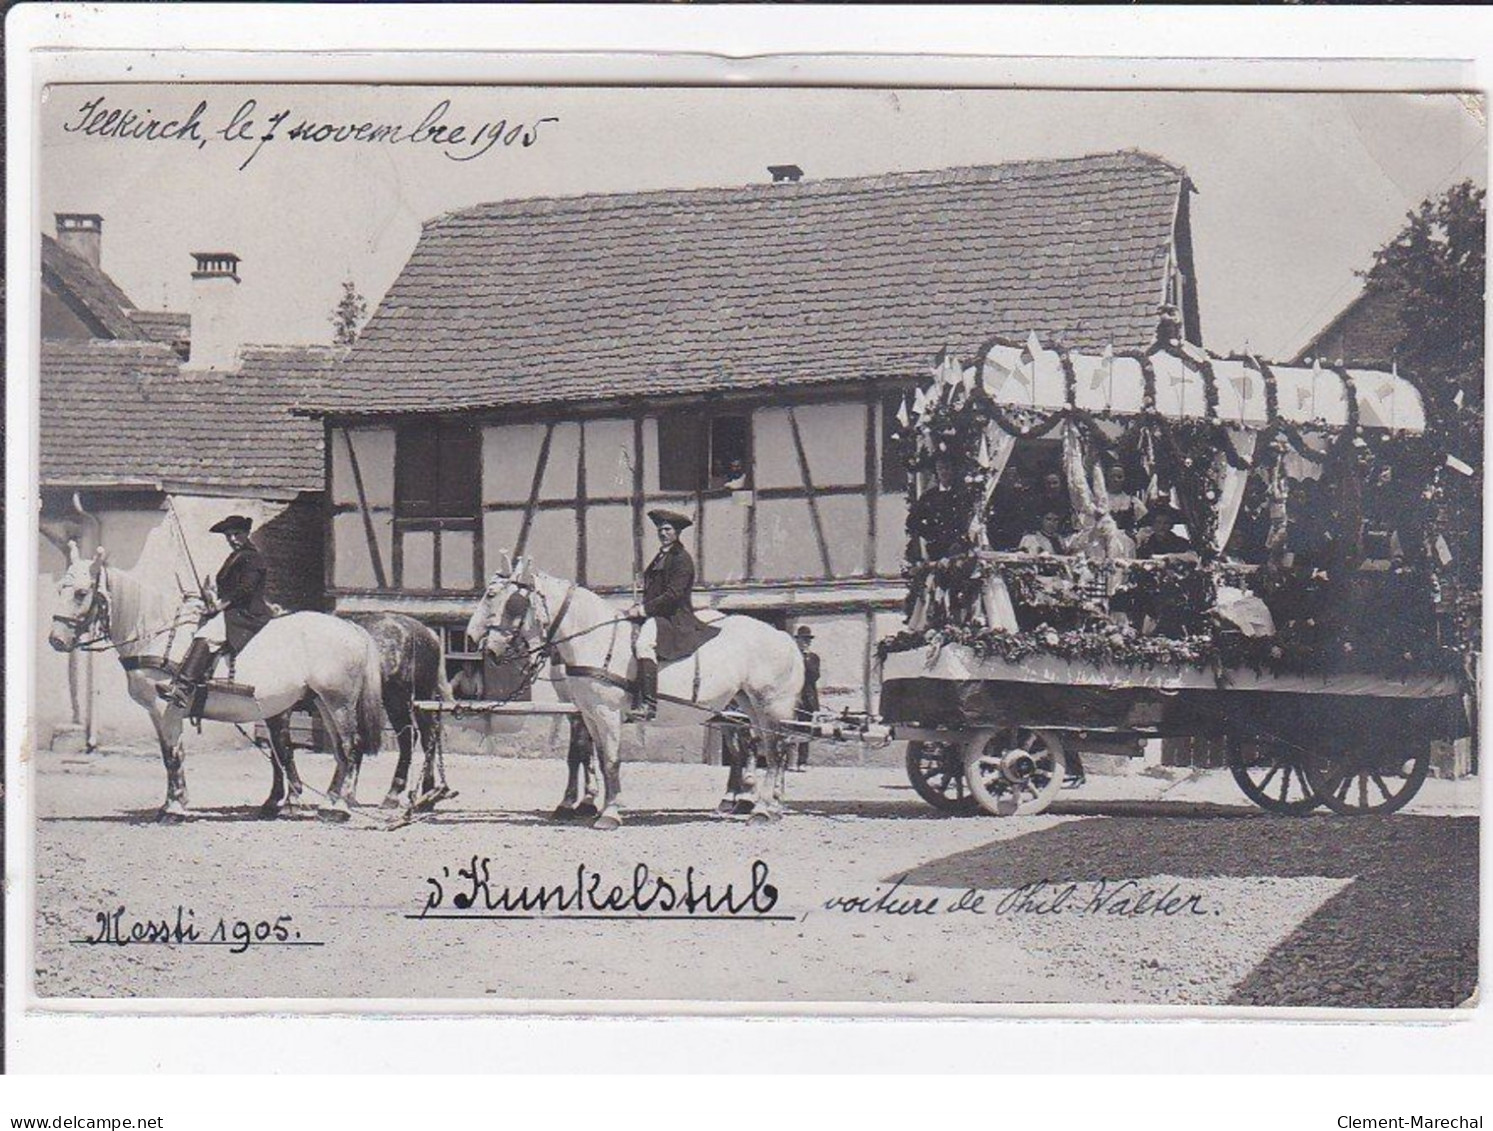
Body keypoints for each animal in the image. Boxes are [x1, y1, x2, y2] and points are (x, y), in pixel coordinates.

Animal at [51, 546, 385, 823]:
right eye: (60, 589)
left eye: (80, 592)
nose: (56, 640)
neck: (156, 634)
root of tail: (351, 627)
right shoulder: (156, 715)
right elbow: (168, 756)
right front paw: (172, 804)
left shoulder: (166, 709)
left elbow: (174, 756)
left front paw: (175, 808)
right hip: (322, 702)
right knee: (340, 751)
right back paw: (329, 803)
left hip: (338, 702)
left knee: (351, 746)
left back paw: (340, 808)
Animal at [471, 555, 812, 829]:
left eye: (493, 595)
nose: (480, 645)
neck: (593, 638)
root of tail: (784, 637)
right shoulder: (589, 714)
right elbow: (595, 757)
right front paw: (596, 805)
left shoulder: (606, 714)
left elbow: (609, 760)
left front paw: (608, 813)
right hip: (747, 705)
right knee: (764, 748)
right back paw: (764, 805)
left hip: (770, 705)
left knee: (774, 752)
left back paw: (762, 809)